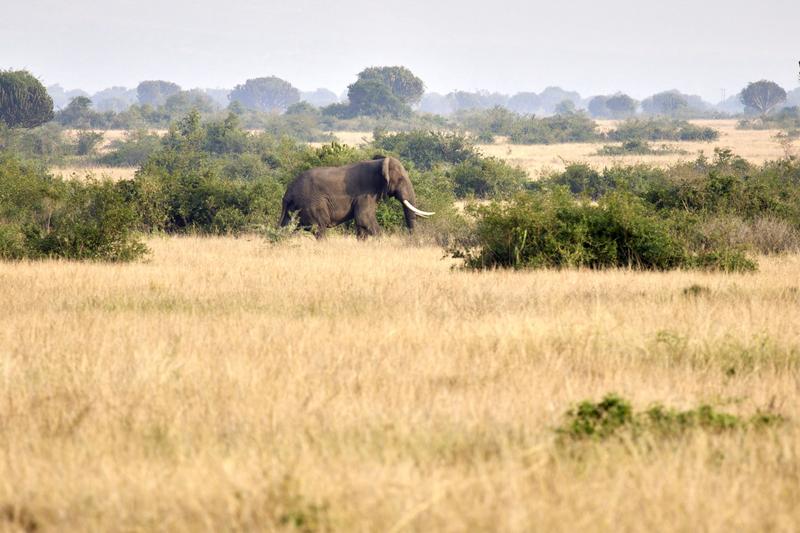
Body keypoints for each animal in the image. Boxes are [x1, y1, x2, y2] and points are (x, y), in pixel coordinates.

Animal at [280, 154, 434, 237]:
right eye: (401, 179)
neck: (380, 163)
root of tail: (288, 192)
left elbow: (361, 225)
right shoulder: (365, 194)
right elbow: (364, 219)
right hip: (311, 204)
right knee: (319, 228)